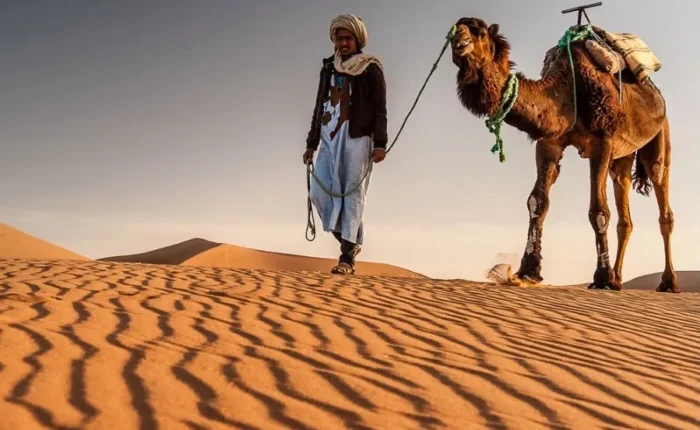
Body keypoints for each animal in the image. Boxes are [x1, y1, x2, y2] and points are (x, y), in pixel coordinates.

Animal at [450, 17, 679, 292]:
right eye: (454, 30)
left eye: (480, 33)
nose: (459, 41)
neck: (568, 90)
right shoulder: (549, 143)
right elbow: (537, 201)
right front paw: (528, 271)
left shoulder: (602, 142)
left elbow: (598, 211)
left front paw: (601, 277)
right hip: (622, 158)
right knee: (625, 213)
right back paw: (618, 279)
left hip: (660, 136)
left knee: (662, 198)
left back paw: (667, 282)